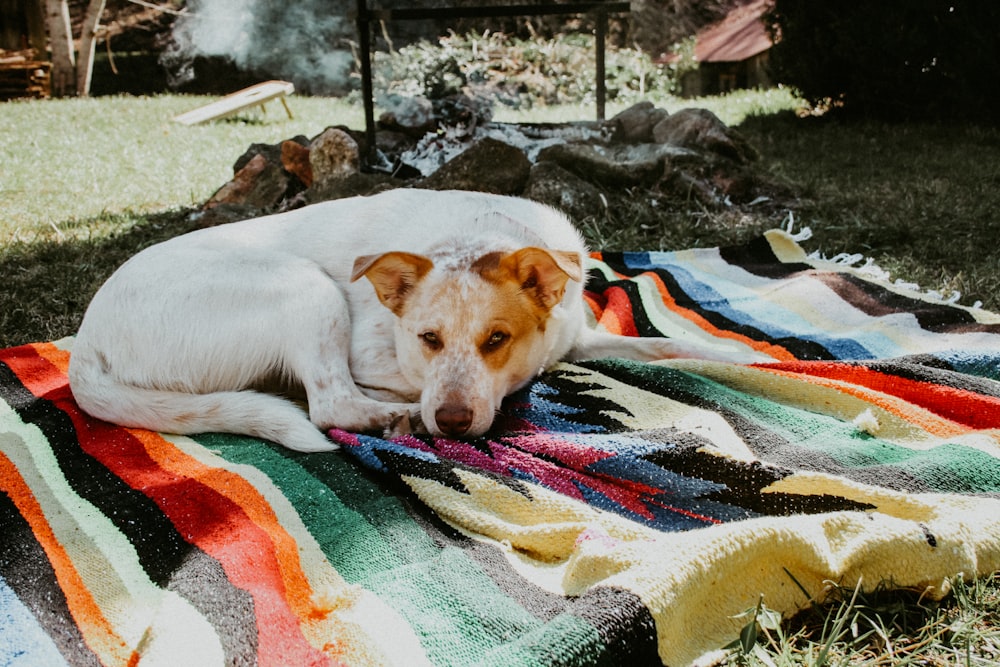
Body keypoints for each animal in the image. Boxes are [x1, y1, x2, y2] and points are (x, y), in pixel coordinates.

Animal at [68, 189, 756, 454]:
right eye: (428, 339)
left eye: (497, 339)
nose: (449, 422)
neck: (475, 234)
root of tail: (85, 347)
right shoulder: (372, 352)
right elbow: (386, 383)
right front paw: (412, 405)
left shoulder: (577, 337)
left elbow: (661, 346)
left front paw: (751, 357)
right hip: (304, 288)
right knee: (329, 403)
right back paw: (389, 417)